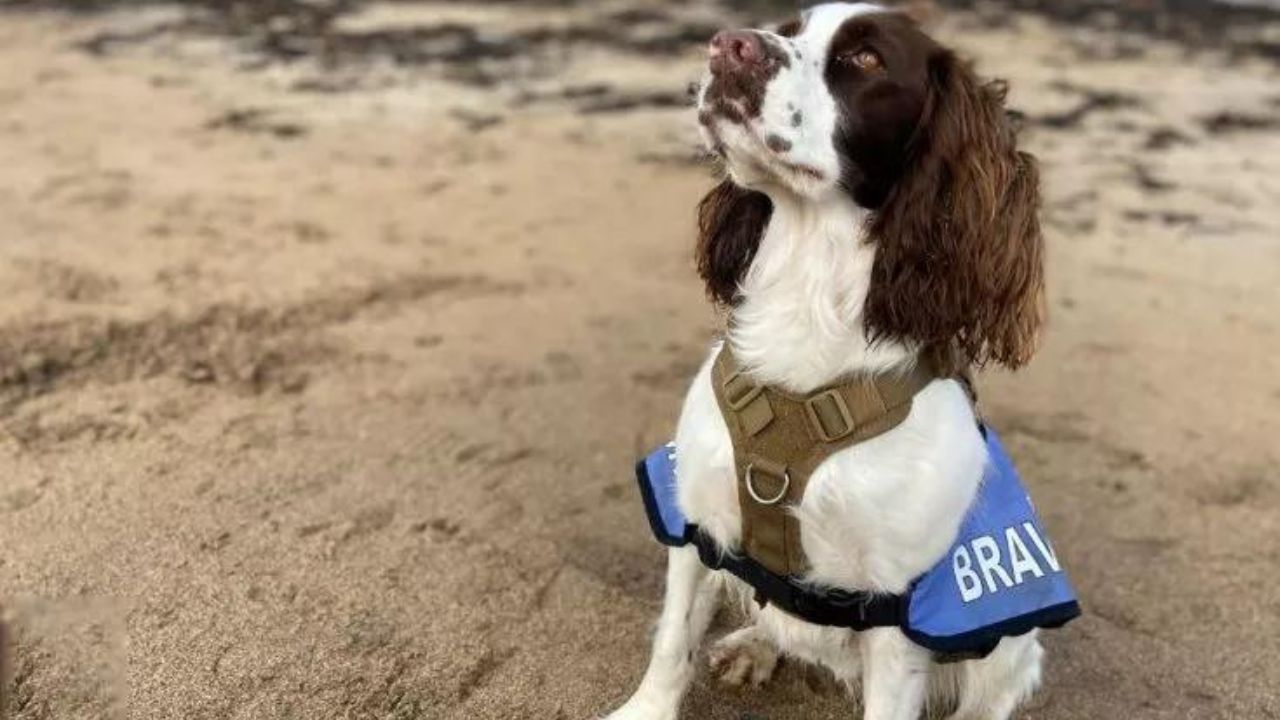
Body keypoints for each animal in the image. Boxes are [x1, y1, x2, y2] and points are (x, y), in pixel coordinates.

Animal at [604, 4, 1044, 717]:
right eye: (787, 28)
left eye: (866, 59)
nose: (728, 46)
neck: (806, 298)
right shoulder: (694, 516)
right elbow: (672, 642)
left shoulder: (897, 609)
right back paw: (755, 645)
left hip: (1009, 644)